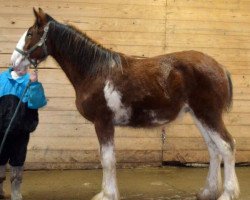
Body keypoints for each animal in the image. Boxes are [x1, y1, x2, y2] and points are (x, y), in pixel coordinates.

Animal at [10, 7, 239, 200]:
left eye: (30, 34)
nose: (13, 63)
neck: (95, 72)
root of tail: (220, 67)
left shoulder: (103, 122)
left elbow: (108, 160)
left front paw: (108, 195)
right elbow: (105, 158)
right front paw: (105, 193)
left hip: (208, 114)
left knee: (227, 146)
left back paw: (227, 194)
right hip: (198, 115)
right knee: (213, 149)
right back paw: (208, 192)